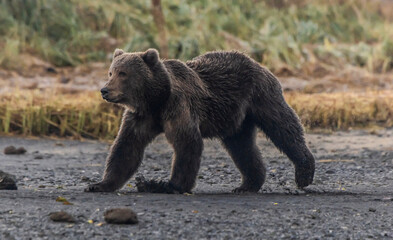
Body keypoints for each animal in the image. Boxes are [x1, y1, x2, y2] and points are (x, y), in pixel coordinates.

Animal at [84, 48, 314, 193]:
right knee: (242, 147)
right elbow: (126, 148)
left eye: (123, 73)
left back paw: (304, 171)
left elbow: (187, 143)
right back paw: (247, 185)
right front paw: (99, 184)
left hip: (260, 94)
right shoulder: (141, 117)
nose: (105, 90)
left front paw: (167, 185)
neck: (157, 99)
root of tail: (258, 63)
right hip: (235, 118)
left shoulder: (178, 106)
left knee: (283, 126)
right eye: (111, 72)